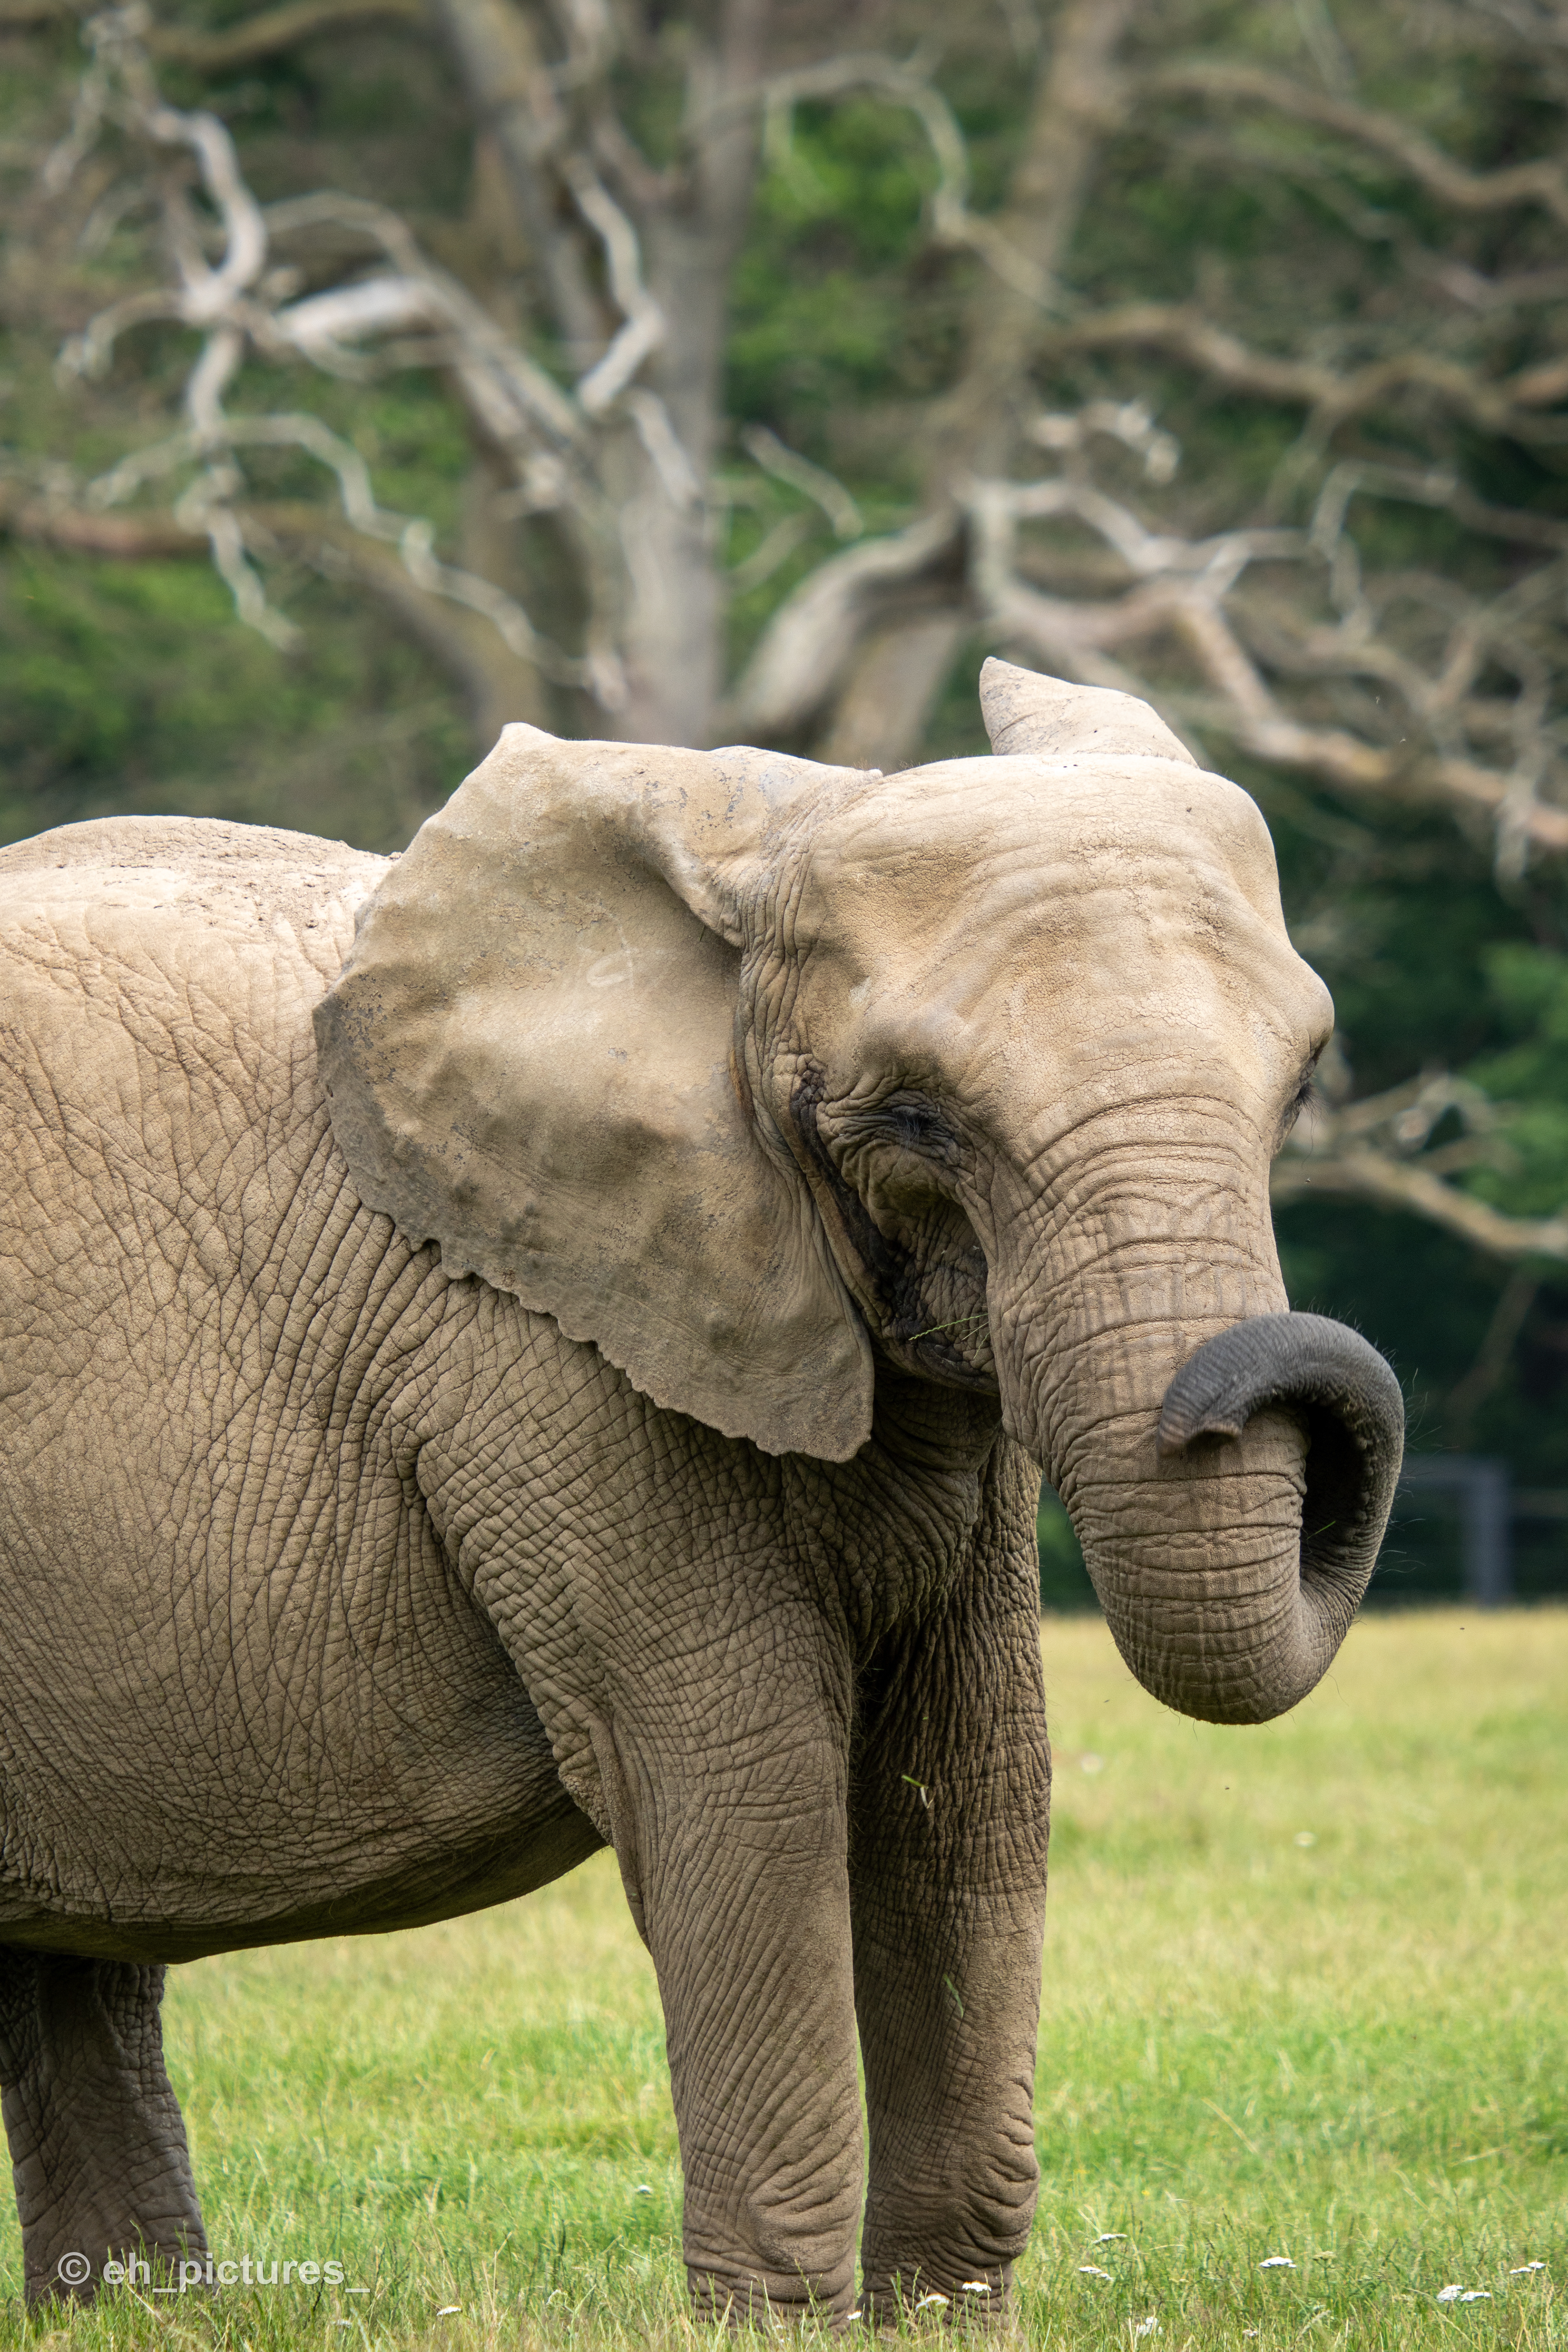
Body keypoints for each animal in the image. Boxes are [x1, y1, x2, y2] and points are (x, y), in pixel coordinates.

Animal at [0, 657, 1403, 2322]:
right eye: (918, 1117)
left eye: (1300, 1084)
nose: (1268, 1373)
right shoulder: (547, 1352)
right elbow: (745, 1780)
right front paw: (780, 2331)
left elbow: (970, 1785)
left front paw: (937, 2326)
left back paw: (129, 2316)